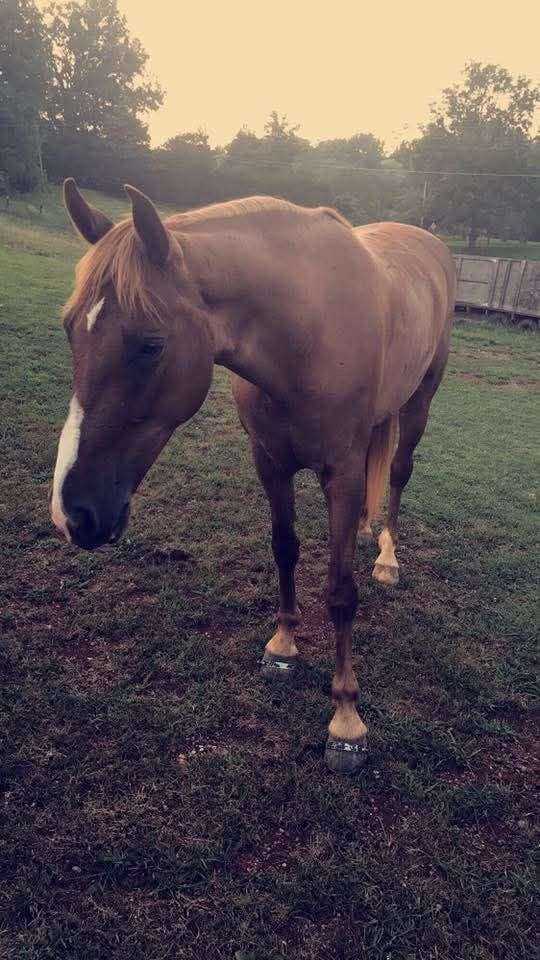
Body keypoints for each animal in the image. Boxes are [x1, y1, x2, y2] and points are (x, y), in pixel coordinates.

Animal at [52, 178, 456, 773]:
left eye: (150, 344)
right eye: (69, 329)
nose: (72, 514)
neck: (306, 334)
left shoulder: (340, 475)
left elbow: (341, 591)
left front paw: (346, 719)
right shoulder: (269, 461)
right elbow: (284, 548)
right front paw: (283, 646)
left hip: (421, 401)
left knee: (400, 473)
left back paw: (387, 557)